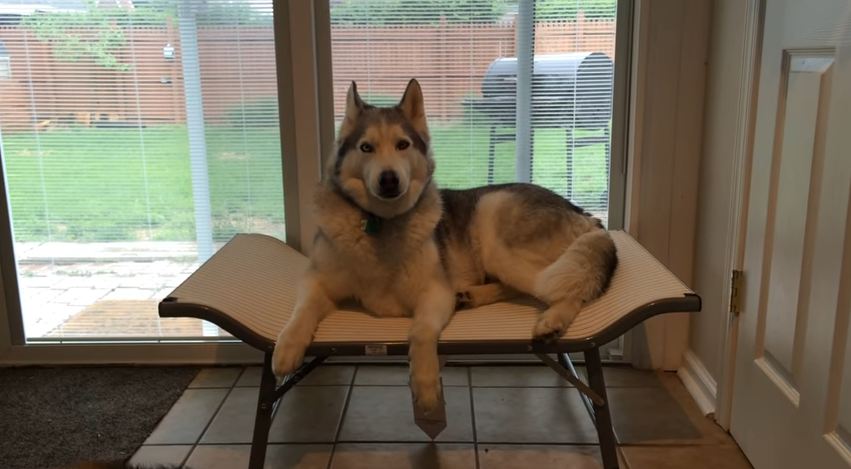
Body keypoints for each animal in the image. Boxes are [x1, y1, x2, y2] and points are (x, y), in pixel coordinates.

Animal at [276, 79, 616, 414]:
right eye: (366, 147)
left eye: (402, 145)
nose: (389, 179)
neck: (380, 224)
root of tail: (584, 213)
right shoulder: (316, 281)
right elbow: (302, 310)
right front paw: (287, 347)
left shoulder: (435, 292)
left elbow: (420, 333)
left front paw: (426, 390)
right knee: (518, 286)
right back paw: (470, 295)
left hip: (498, 229)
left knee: (567, 289)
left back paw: (551, 321)